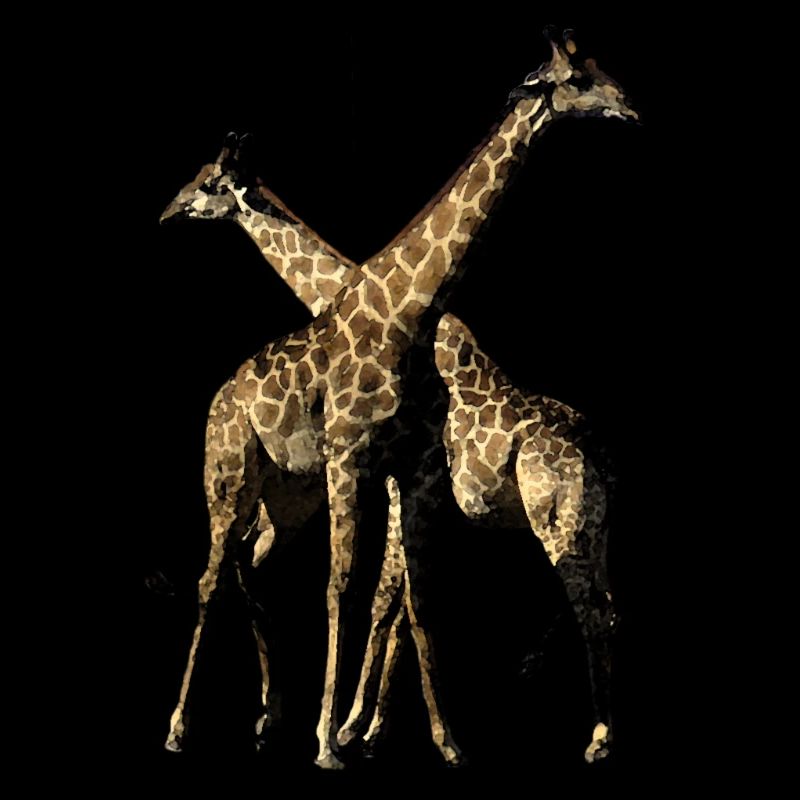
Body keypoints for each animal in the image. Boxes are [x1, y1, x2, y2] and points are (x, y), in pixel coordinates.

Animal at [161, 28, 636, 768]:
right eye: (577, 76)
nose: (171, 206)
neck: (397, 309)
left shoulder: (403, 476)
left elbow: (397, 598)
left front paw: (377, 732)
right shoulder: (365, 468)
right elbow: (370, 593)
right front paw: (350, 731)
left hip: (547, 516)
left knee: (594, 603)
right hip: (241, 478)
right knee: (222, 573)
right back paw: (204, 723)